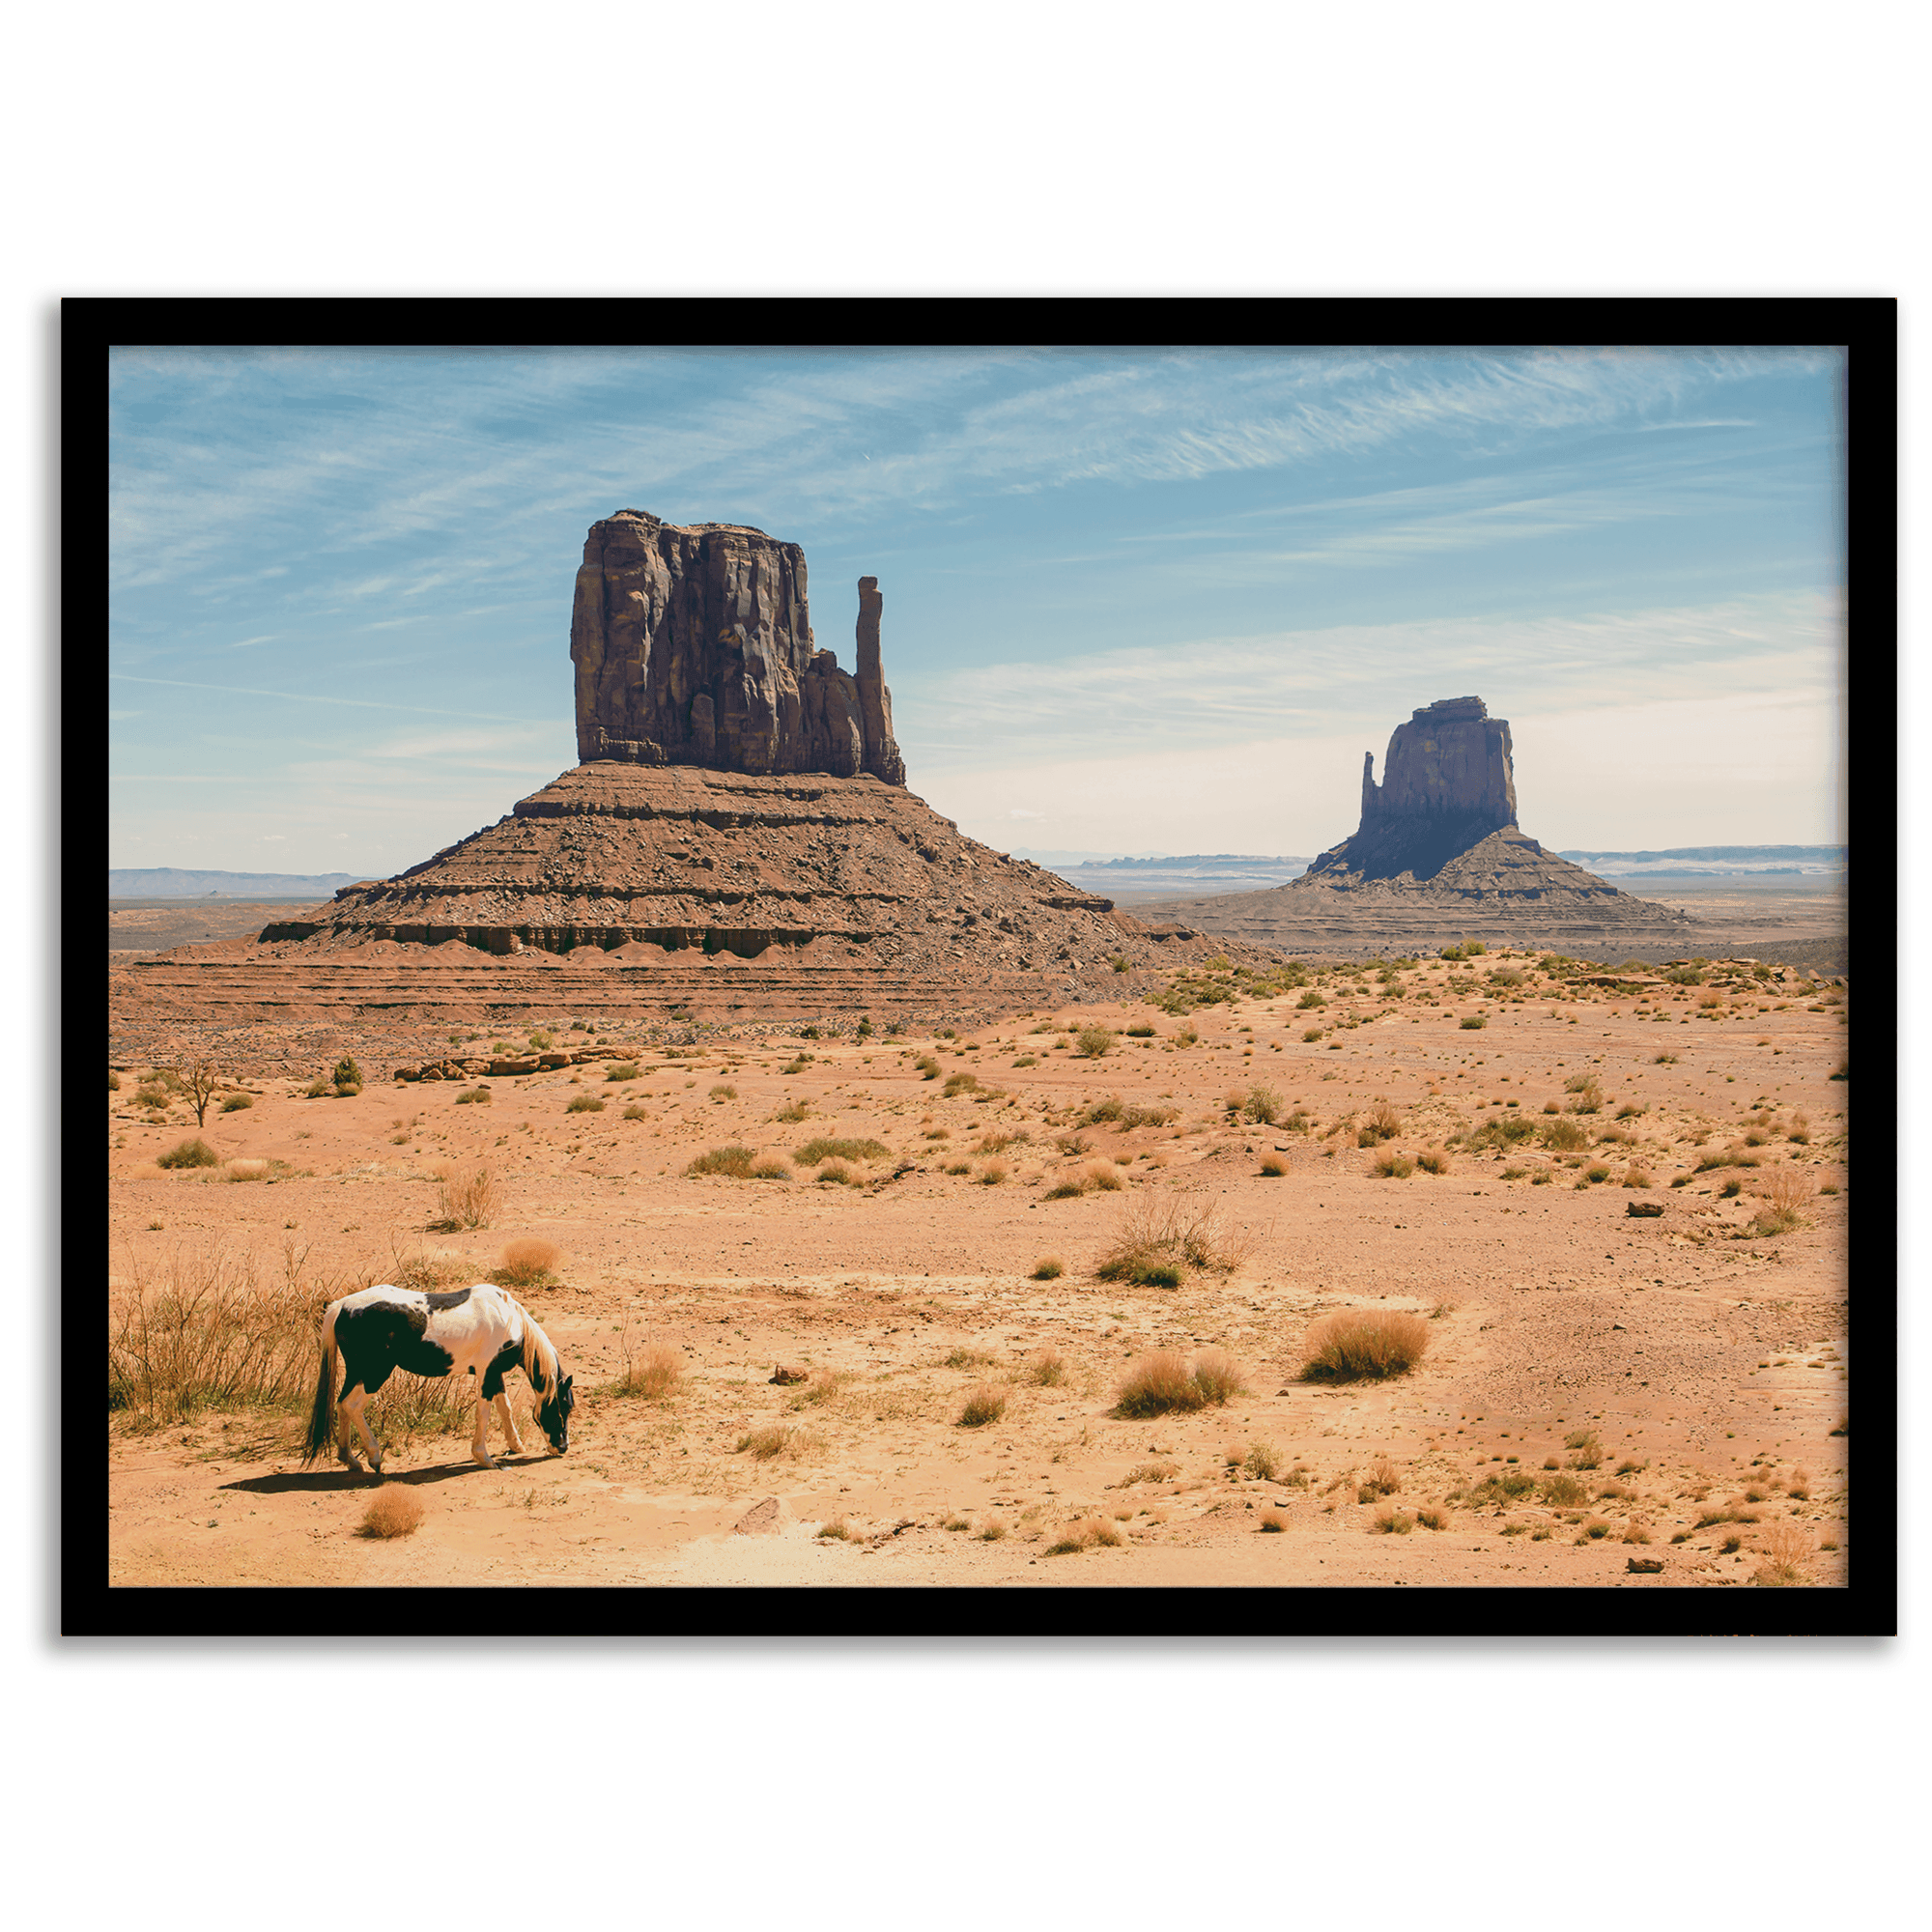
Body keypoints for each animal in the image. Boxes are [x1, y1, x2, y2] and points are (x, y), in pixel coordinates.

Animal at [298, 1283, 572, 1476]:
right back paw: (374, 1457)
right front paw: (484, 1458)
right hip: (375, 1374)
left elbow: (505, 1408)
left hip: (357, 1372)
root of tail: (341, 1306)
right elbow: (484, 1413)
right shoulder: (486, 1373)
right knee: (351, 1406)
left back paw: (350, 1460)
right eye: (564, 1407)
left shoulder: (493, 1374)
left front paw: (516, 1445)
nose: (562, 1447)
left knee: (341, 1405)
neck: (508, 1318)